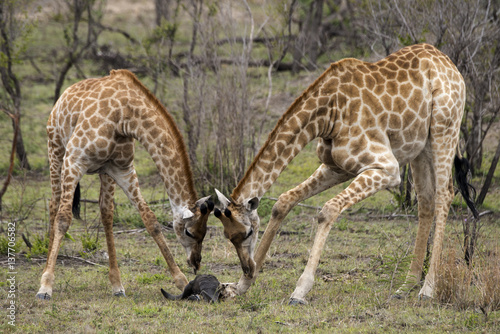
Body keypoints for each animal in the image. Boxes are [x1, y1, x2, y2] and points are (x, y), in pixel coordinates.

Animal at [36, 70, 213, 300]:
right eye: (189, 232)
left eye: (205, 232)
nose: (195, 263)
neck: (124, 117)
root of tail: (61, 98)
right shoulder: (74, 160)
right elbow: (63, 218)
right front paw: (45, 286)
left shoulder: (123, 169)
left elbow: (150, 220)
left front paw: (180, 280)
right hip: (55, 152)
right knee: (53, 205)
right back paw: (44, 273)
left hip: (103, 172)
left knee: (106, 212)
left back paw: (117, 284)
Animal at [213, 44, 478, 306]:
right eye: (228, 236)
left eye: (248, 232)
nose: (247, 269)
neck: (327, 114)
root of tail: (450, 64)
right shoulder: (336, 166)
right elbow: (284, 201)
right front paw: (240, 286)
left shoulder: (387, 167)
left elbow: (328, 209)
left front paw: (300, 290)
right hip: (420, 146)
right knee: (425, 200)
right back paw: (407, 285)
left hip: (445, 128)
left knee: (445, 195)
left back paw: (428, 289)